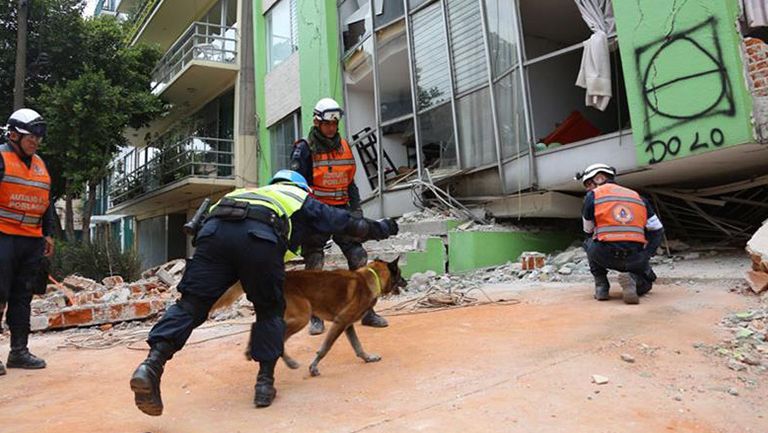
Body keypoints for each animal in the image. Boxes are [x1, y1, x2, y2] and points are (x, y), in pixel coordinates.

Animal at [213, 258, 408, 376]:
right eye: (399, 274)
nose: (406, 282)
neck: (370, 278)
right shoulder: (340, 322)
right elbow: (325, 349)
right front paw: (313, 367)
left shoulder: (347, 325)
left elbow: (358, 347)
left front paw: (368, 358)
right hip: (302, 317)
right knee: (278, 338)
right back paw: (290, 362)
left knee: (258, 328)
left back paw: (250, 350)